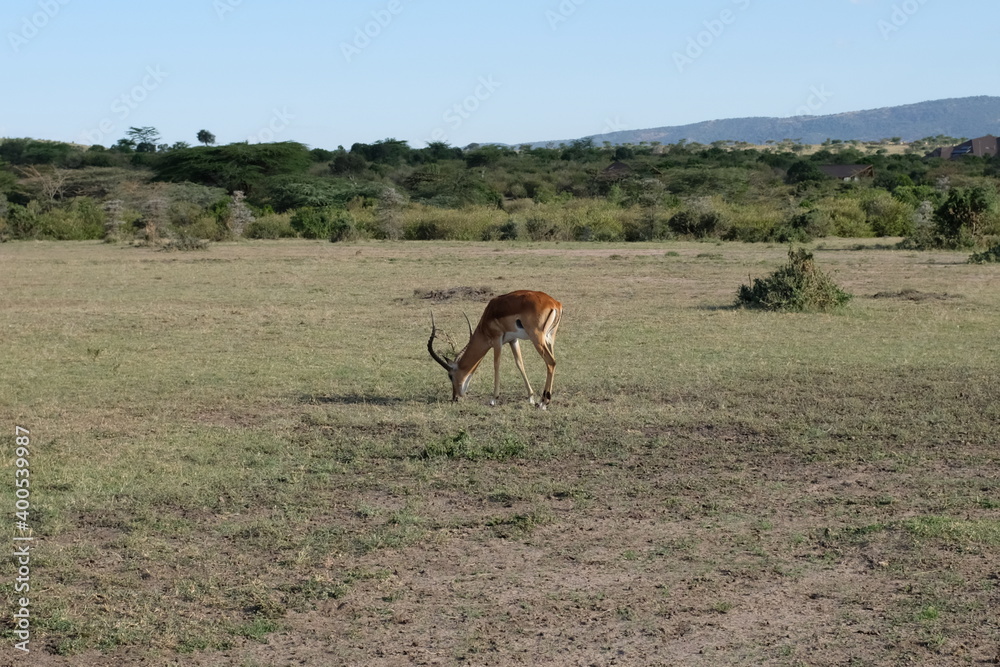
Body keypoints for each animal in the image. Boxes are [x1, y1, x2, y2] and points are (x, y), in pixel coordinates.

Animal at [427, 290, 562, 408]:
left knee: (551, 362)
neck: (488, 316)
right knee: (552, 363)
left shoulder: (497, 340)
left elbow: (496, 365)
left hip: (537, 339)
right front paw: (531, 397)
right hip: (550, 339)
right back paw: (542, 401)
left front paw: (493, 399)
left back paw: (544, 403)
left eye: (450, 376)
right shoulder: (513, 340)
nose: (455, 397)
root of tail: (555, 303)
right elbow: (519, 364)